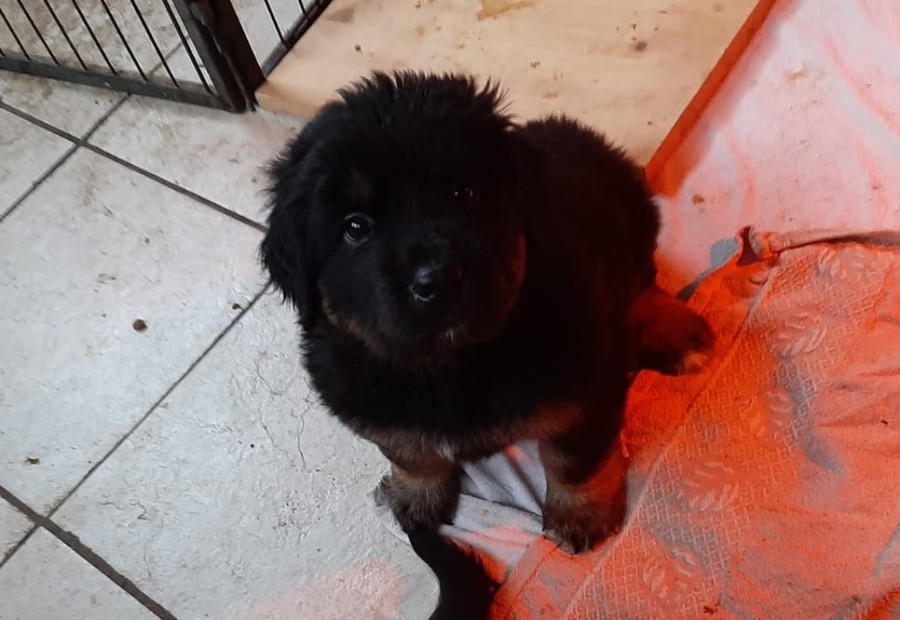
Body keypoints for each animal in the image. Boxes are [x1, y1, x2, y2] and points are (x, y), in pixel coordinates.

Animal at [261, 71, 711, 607]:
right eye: (355, 227)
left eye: (465, 192)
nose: (437, 279)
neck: (452, 363)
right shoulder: (366, 398)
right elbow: (407, 448)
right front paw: (415, 495)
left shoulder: (585, 384)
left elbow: (575, 458)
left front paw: (579, 514)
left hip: (629, 214)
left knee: (642, 281)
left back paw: (674, 330)